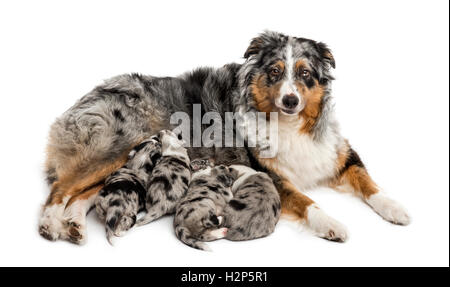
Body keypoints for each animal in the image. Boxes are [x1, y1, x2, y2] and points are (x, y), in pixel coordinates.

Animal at [39, 31, 408, 245]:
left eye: (305, 73)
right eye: (274, 72)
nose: (290, 100)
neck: (290, 124)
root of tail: (90, 94)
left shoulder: (337, 153)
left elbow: (368, 182)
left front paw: (395, 208)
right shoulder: (272, 175)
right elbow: (307, 202)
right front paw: (331, 223)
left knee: (83, 195)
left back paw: (75, 224)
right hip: (114, 149)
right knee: (60, 189)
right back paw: (50, 224)